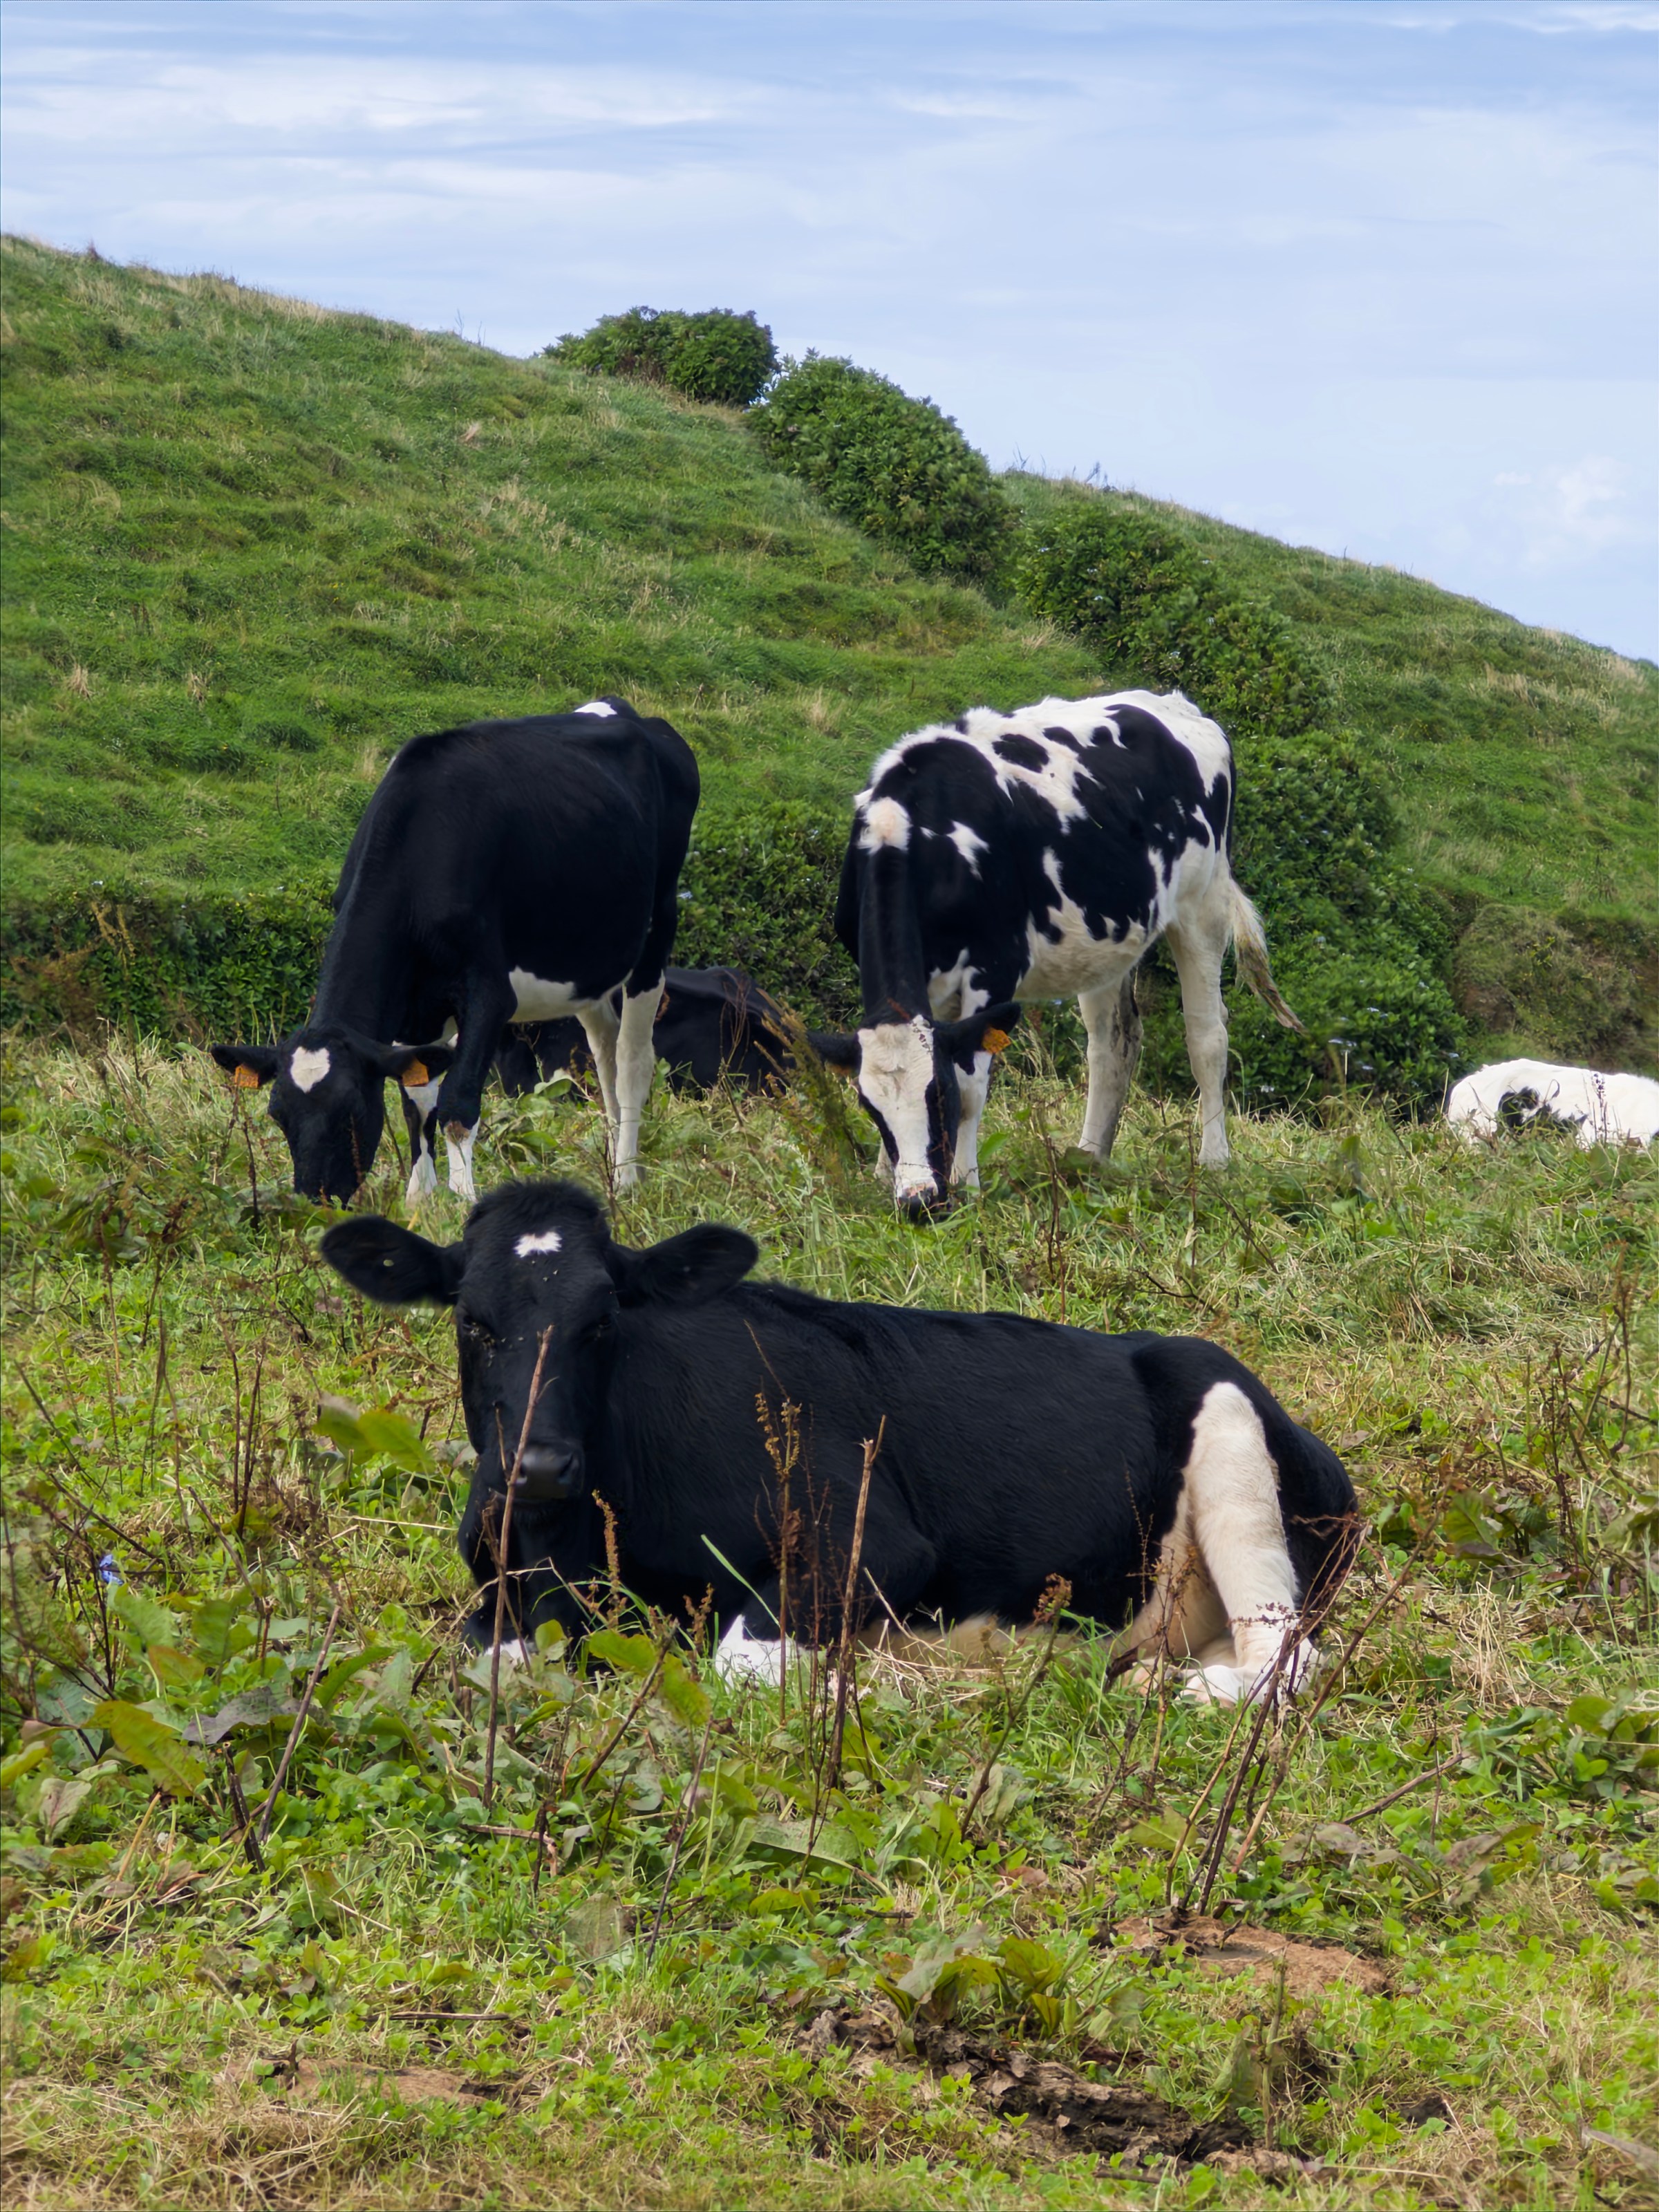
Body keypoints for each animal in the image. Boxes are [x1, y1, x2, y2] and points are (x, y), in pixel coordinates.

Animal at [211, 700, 698, 1206]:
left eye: (352, 1109)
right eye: (277, 1115)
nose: (314, 1200)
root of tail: (631, 714)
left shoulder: (489, 994)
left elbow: (458, 1105)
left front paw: (464, 1198)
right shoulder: (411, 1008)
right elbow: (416, 1104)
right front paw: (419, 1198)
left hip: (657, 934)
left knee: (631, 1064)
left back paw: (627, 1178)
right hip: (587, 968)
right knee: (604, 1055)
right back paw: (613, 1162)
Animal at [319, 1178, 1358, 1707]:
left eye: (603, 1319)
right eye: (473, 1320)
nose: (537, 1465)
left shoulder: (872, 1538)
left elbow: (739, 1659)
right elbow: (488, 1656)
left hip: (1232, 1446)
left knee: (1286, 1657)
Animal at [809, 690, 1302, 1216]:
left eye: (938, 1096)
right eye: (870, 1108)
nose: (919, 1200)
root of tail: (1178, 706)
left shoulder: (994, 969)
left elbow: (972, 1086)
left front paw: (968, 1184)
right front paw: (886, 1176)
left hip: (1201, 907)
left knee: (1207, 1038)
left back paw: (1214, 1162)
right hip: (1108, 939)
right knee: (1113, 1044)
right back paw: (1088, 1159)